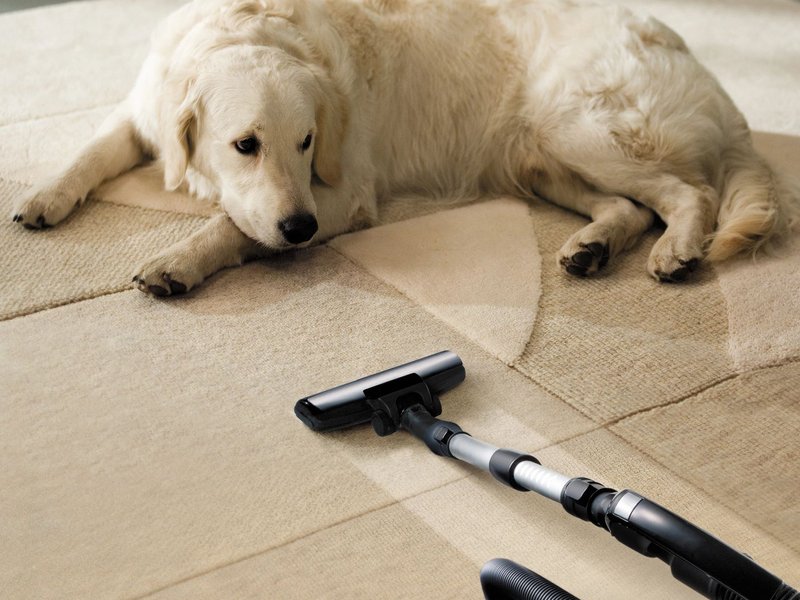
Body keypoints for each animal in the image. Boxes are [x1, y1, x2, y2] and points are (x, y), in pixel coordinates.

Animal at [9, 0, 796, 296]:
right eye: (245, 144)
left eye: (307, 141)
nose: (300, 228)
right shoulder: (142, 110)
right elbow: (89, 151)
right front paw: (43, 196)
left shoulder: (342, 192)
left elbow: (230, 224)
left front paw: (178, 261)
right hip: (540, 156)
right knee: (630, 207)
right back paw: (592, 247)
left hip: (579, 128)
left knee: (688, 191)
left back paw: (678, 251)